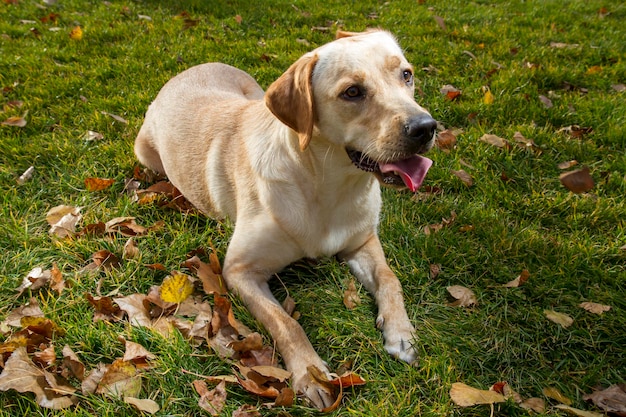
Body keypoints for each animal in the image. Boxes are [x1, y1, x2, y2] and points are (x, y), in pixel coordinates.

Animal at [134, 29, 434, 406]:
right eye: (352, 92)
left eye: (406, 75)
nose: (425, 127)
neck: (328, 187)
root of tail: (190, 69)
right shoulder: (239, 271)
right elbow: (285, 323)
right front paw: (310, 374)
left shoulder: (362, 241)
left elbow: (390, 278)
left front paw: (401, 332)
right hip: (144, 152)